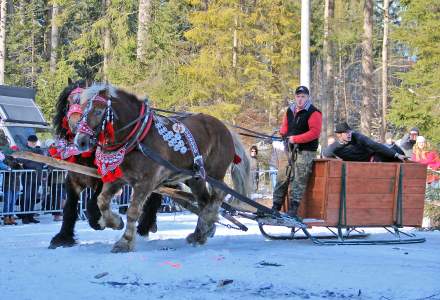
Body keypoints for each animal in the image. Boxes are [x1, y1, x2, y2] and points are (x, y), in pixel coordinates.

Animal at [49, 81, 162, 250]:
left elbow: (92, 203)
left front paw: (103, 222)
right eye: (69, 101)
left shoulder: (105, 179)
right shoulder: (74, 180)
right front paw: (63, 237)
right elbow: (69, 207)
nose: (76, 125)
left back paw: (144, 227)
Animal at [74, 83, 249, 252]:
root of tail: (225, 127)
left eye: (98, 110)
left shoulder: (146, 182)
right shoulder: (119, 178)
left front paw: (125, 242)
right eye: (82, 110)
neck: (138, 138)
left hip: (215, 173)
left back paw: (207, 222)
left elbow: (133, 211)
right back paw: (200, 233)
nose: (80, 141)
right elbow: (102, 200)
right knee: (204, 201)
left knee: (218, 194)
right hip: (196, 178)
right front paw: (115, 222)